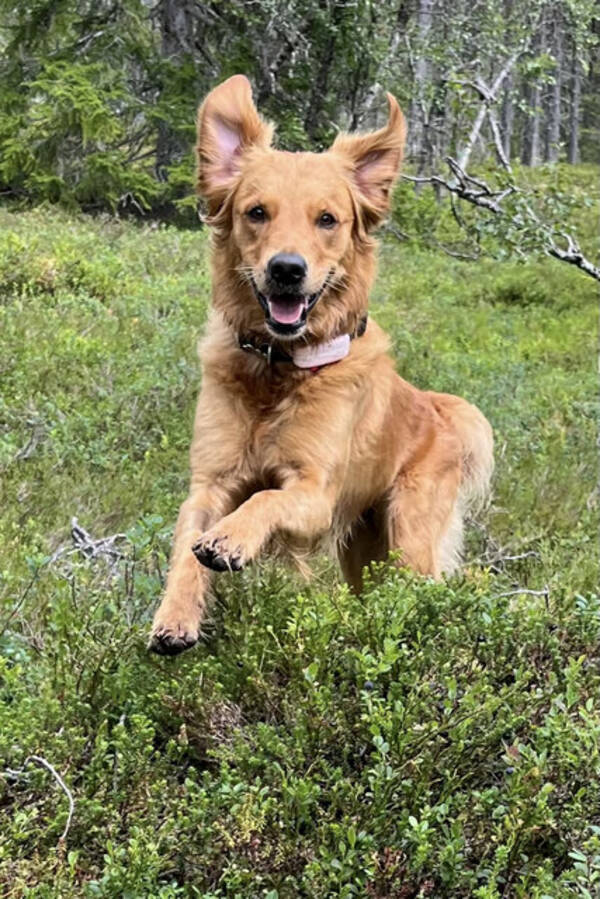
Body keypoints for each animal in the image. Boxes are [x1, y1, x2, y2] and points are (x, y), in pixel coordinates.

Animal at [146, 75, 492, 652]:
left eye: (327, 219)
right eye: (256, 212)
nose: (287, 269)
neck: (278, 368)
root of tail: (437, 408)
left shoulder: (314, 495)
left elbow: (265, 500)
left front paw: (231, 538)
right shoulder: (210, 483)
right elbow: (186, 548)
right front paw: (175, 616)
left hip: (408, 534)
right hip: (363, 554)